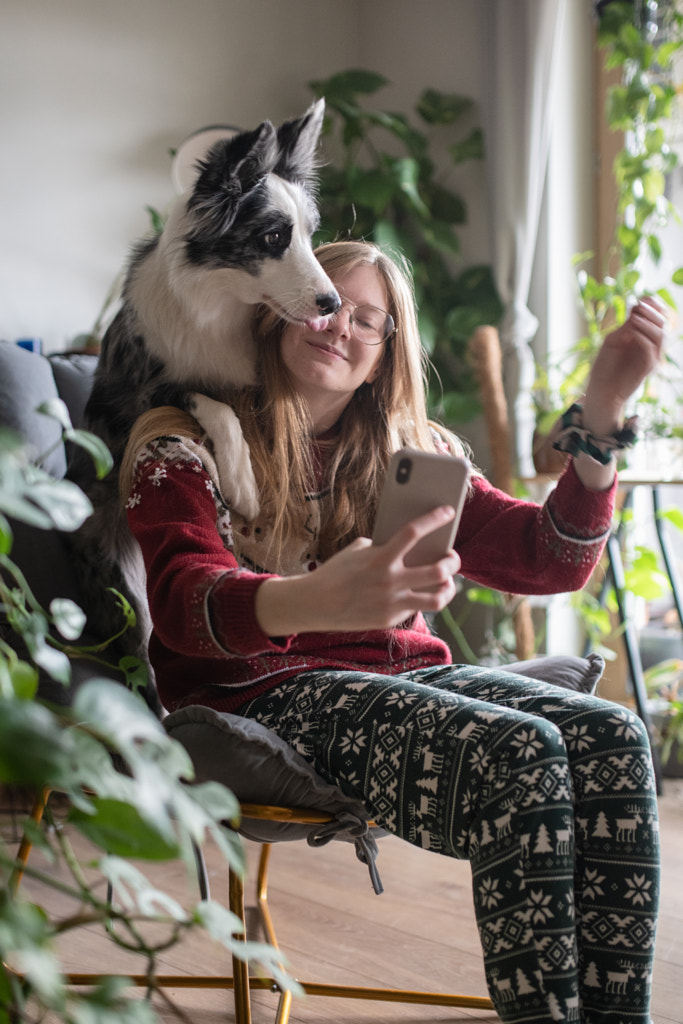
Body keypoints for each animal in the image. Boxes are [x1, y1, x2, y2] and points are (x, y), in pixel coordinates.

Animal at [74, 97, 339, 679]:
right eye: (274, 237)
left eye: (311, 234)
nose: (333, 304)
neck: (221, 306)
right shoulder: (143, 396)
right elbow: (217, 404)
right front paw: (242, 482)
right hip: (121, 582)